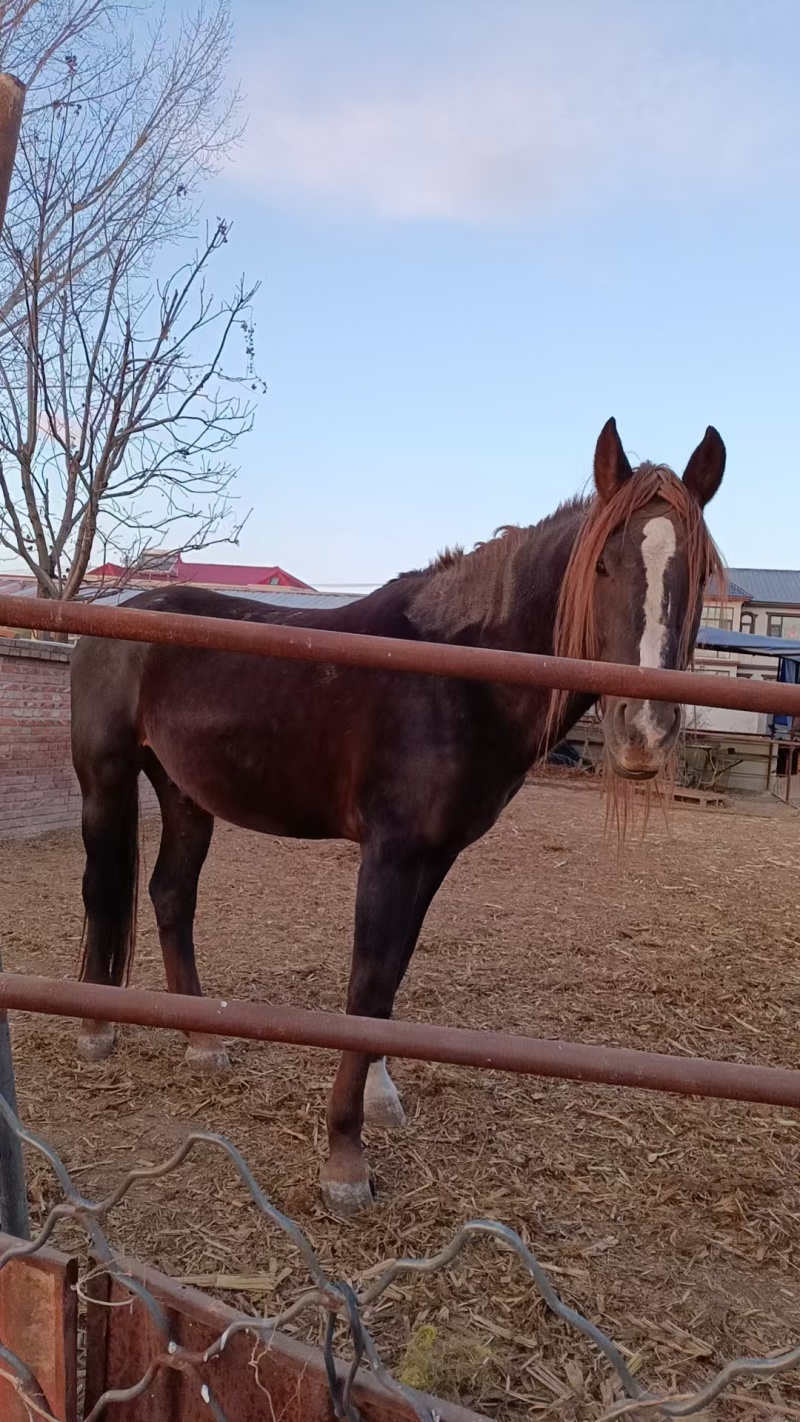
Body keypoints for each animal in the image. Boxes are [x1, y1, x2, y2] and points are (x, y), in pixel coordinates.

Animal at [70, 418, 725, 1214]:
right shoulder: (391, 854)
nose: (645, 733)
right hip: (105, 782)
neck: (456, 671)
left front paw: (379, 1097)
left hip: (185, 793)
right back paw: (96, 1029)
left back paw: (201, 1042)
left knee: (169, 895)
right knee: (104, 893)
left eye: (699, 573)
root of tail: (110, 618)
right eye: (602, 565)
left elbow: (392, 977)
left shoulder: (433, 858)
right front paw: (345, 1158)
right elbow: (369, 981)